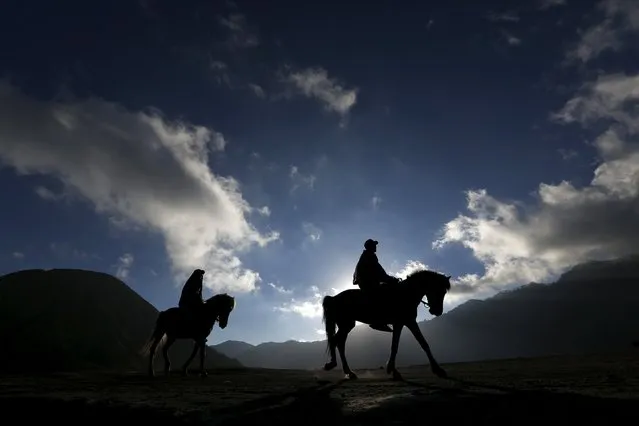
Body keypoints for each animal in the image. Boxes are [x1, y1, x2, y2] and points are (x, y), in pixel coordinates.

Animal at [322, 270, 452, 380]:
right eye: (437, 290)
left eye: (444, 292)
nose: (437, 311)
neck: (406, 294)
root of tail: (334, 298)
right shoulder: (404, 322)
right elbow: (402, 345)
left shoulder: (405, 323)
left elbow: (416, 344)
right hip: (346, 324)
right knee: (335, 341)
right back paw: (333, 365)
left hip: (346, 325)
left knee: (340, 343)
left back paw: (348, 372)